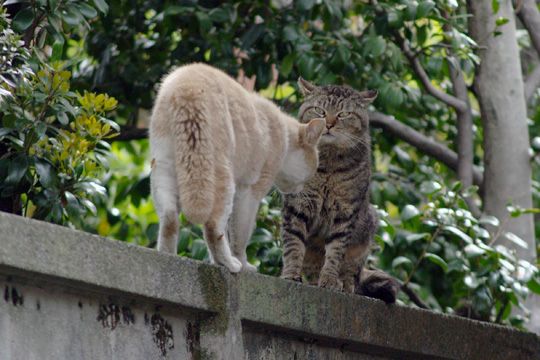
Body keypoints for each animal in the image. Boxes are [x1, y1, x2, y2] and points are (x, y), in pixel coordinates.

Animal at [149, 64, 324, 272]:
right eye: (312, 171)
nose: (302, 188)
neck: (285, 138)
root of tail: (188, 88)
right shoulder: (250, 191)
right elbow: (240, 234)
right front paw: (243, 263)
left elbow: (231, 231)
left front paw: (214, 261)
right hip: (222, 177)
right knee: (212, 226)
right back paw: (230, 264)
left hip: (163, 167)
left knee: (169, 219)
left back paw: (168, 256)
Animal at [280, 79, 398, 300]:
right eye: (319, 111)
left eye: (343, 114)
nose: (328, 124)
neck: (328, 164)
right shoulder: (297, 205)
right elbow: (293, 244)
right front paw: (291, 274)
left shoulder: (345, 212)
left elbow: (335, 252)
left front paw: (329, 280)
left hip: (367, 229)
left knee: (352, 273)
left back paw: (345, 284)